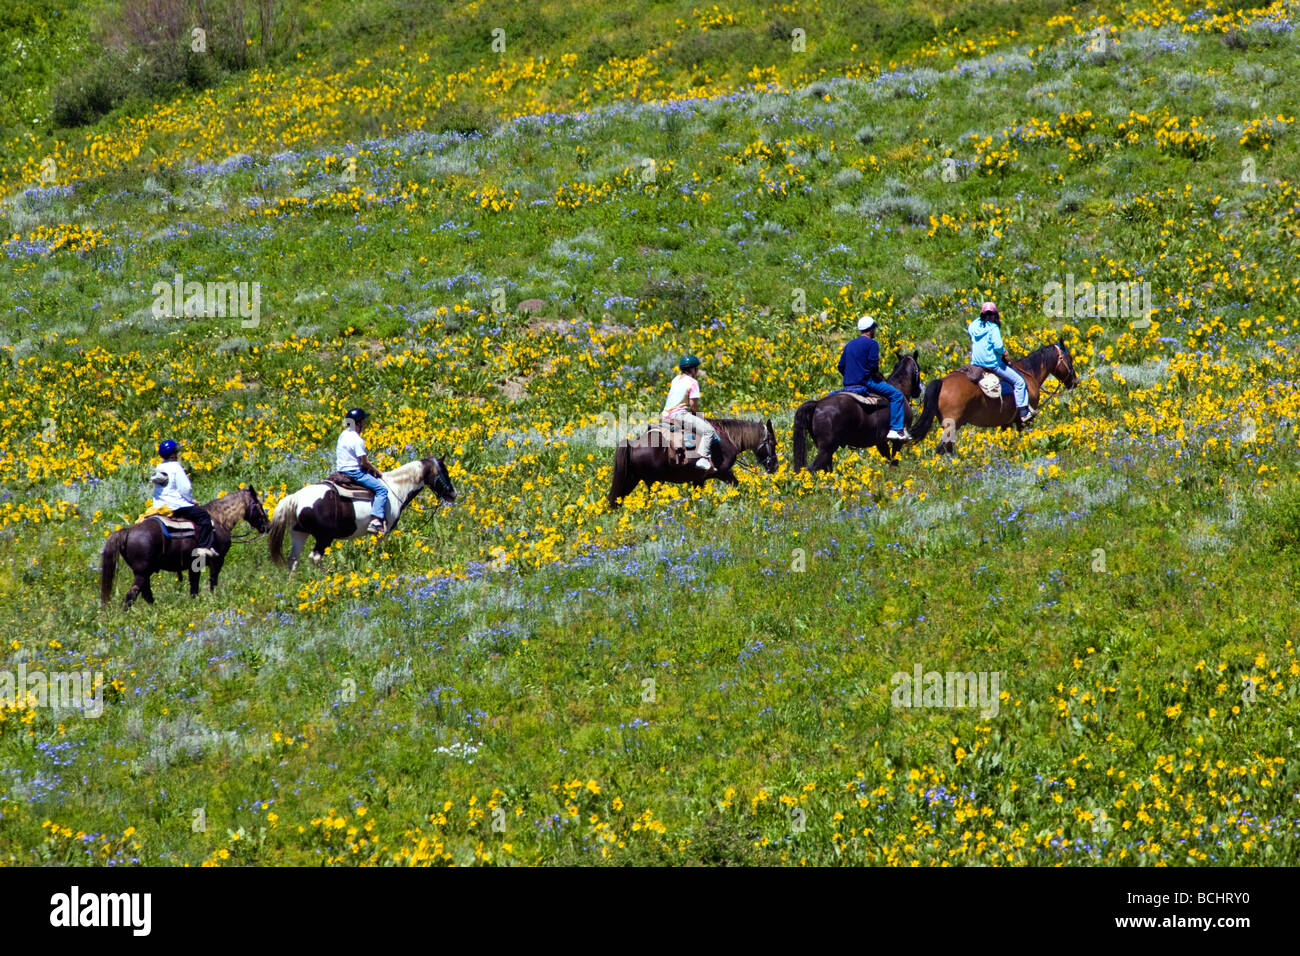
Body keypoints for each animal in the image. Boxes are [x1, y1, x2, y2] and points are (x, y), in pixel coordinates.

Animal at [102, 486, 274, 613]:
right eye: (258, 505)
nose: (267, 526)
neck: (219, 520)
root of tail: (127, 531)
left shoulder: (193, 566)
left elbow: (194, 588)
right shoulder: (217, 560)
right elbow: (212, 582)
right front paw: (213, 599)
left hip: (144, 573)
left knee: (145, 594)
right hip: (142, 572)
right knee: (132, 594)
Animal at [269, 455, 457, 567]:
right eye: (445, 471)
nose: (453, 494)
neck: (395, 488)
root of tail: (296, 498)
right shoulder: (383, 532)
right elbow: (379, 552)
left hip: (299, 534)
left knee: (293, 560)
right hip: (324, 537)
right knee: (314, 558)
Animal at [605, 416, 774, 509]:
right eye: (773, 442)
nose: (775, 467)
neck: (727, 439)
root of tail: (632, 443)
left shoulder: (699, 479)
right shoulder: (724, 472)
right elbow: (736, 486)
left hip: (632, 479)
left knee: (617, 499)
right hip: (653, 481)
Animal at [790, 353, 925, 473]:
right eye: (918, 368)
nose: (918, 391)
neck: (899, 388)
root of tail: (817, 404)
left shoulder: (881, 442)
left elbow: (888, 460)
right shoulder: (898, 441)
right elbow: (894, 463)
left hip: (825, 449)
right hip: (826, 449)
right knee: (812, 469)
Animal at [909, 338, 1081, 455]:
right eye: (1069, 358)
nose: (1075, 382)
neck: (1028, 373)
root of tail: (941, 382)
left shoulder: (1006, 422)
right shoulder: (1024, 420)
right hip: (952, 425)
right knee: (942, 448)